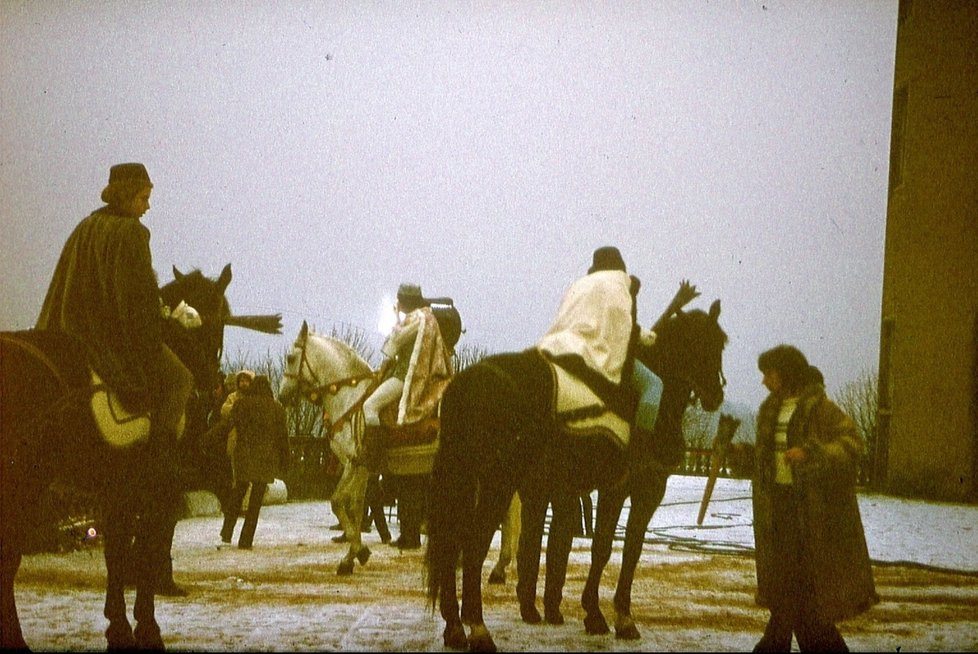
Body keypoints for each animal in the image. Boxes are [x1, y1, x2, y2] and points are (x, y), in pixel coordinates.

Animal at [0, 266, 282, 652]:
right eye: (218, 319)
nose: (214, 382)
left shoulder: (117, 489)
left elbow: (117, 553)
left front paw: (118, 625)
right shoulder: (156, 487)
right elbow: (147, 548)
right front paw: (146, 625)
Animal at [422, 298, 724, 654]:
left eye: (720, 344)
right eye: (708, 344)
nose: (716, 395)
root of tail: (466, 383)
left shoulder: (608, 491)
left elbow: (601, 547)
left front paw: (593, 613)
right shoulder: (643, 491)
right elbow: (628, 551)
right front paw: (622, 617)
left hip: (468, 485)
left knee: (452, 544)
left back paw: (456, 627)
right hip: (496, 484)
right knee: (472, 545)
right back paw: (478, 628)